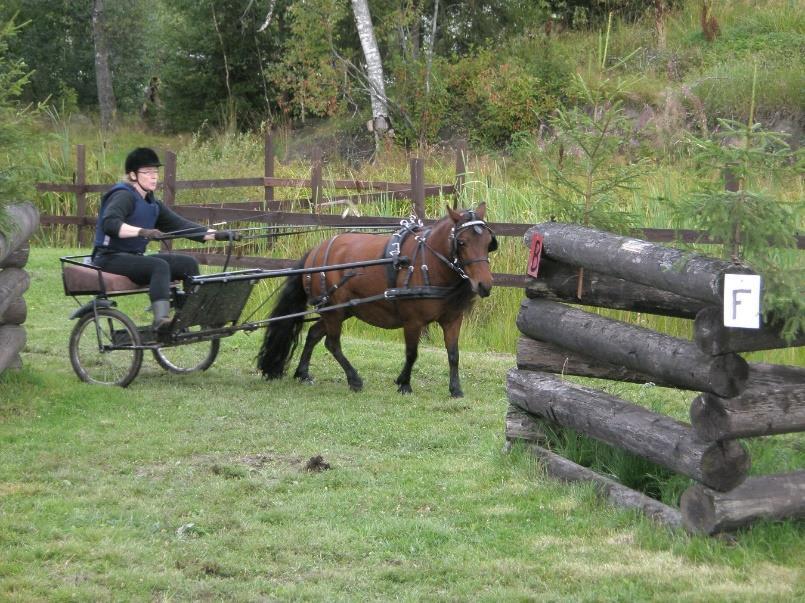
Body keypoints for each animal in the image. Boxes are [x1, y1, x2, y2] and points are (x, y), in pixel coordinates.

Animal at [258, 205, 496, 398]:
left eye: (488, 243)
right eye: (462, 242)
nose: (484, 285)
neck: (428, 263)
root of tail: (314, 252)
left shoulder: (452, 319)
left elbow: (454, 354)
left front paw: (455, 389)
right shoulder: (413, 321)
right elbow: (412, 353)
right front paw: (404, 384)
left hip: (340, 310)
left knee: (314, 334)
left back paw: (303, 373)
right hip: (333, 311)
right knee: (332, 343)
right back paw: (354, 379)